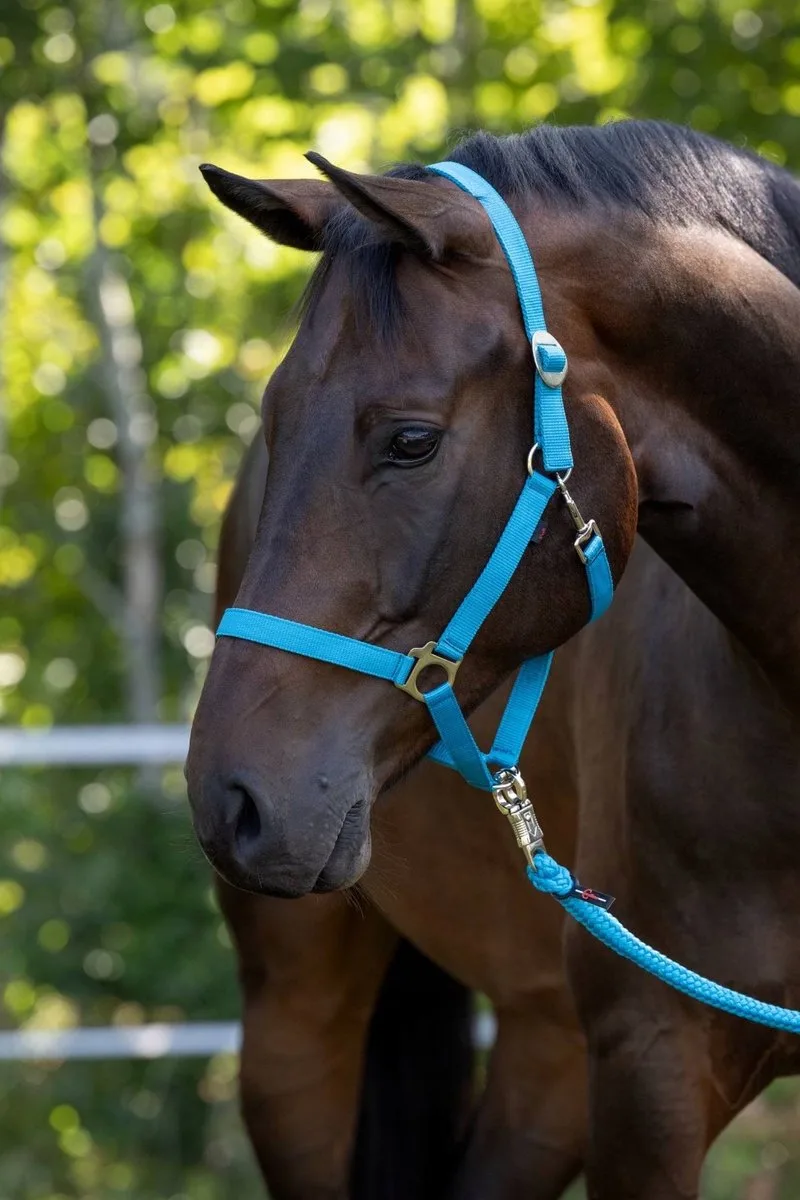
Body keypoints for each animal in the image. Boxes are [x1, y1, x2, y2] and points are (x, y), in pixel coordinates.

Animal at [188, 120, 800, 1198]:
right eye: (275, 416)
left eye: (411, 441)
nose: (231, 799)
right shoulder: (649, 1065)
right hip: (297, 1022)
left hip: (546, 1049)